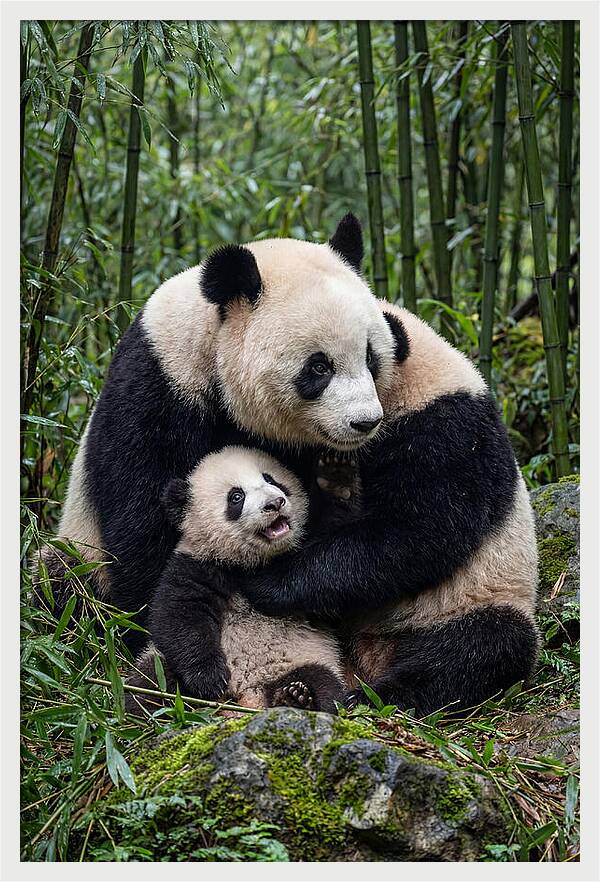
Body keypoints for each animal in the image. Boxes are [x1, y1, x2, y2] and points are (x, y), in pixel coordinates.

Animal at [126, 446, 346, 715]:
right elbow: (179, 616)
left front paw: (336, 480)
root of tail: (247, 696)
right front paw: (209, 679)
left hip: (304, 658)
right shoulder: (196, 565)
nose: (275, 503)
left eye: (271, 480)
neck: (248, 561)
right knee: (149, 684)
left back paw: (297, 698)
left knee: (323, 682)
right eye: (236, 497)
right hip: (159, 663)